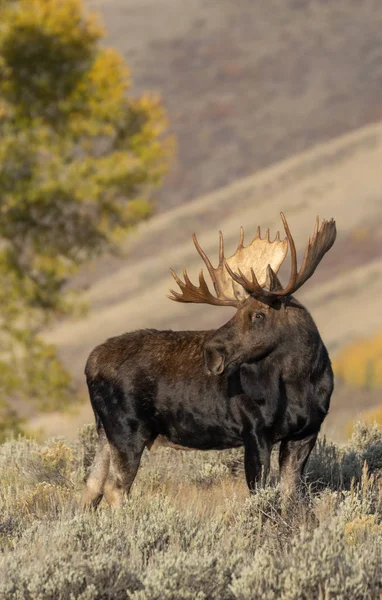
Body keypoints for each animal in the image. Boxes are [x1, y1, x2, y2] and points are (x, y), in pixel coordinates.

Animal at [82, 211, 336, 506]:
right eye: (235, 314)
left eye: (258, 314)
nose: (212, 351)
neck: (302, 380)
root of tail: (90, 365)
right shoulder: (254, 430)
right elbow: (260, 496)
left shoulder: (306, 431)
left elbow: (292, 495)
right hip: (127, 429)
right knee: (115, 488)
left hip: (105, 432)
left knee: (91, 486)